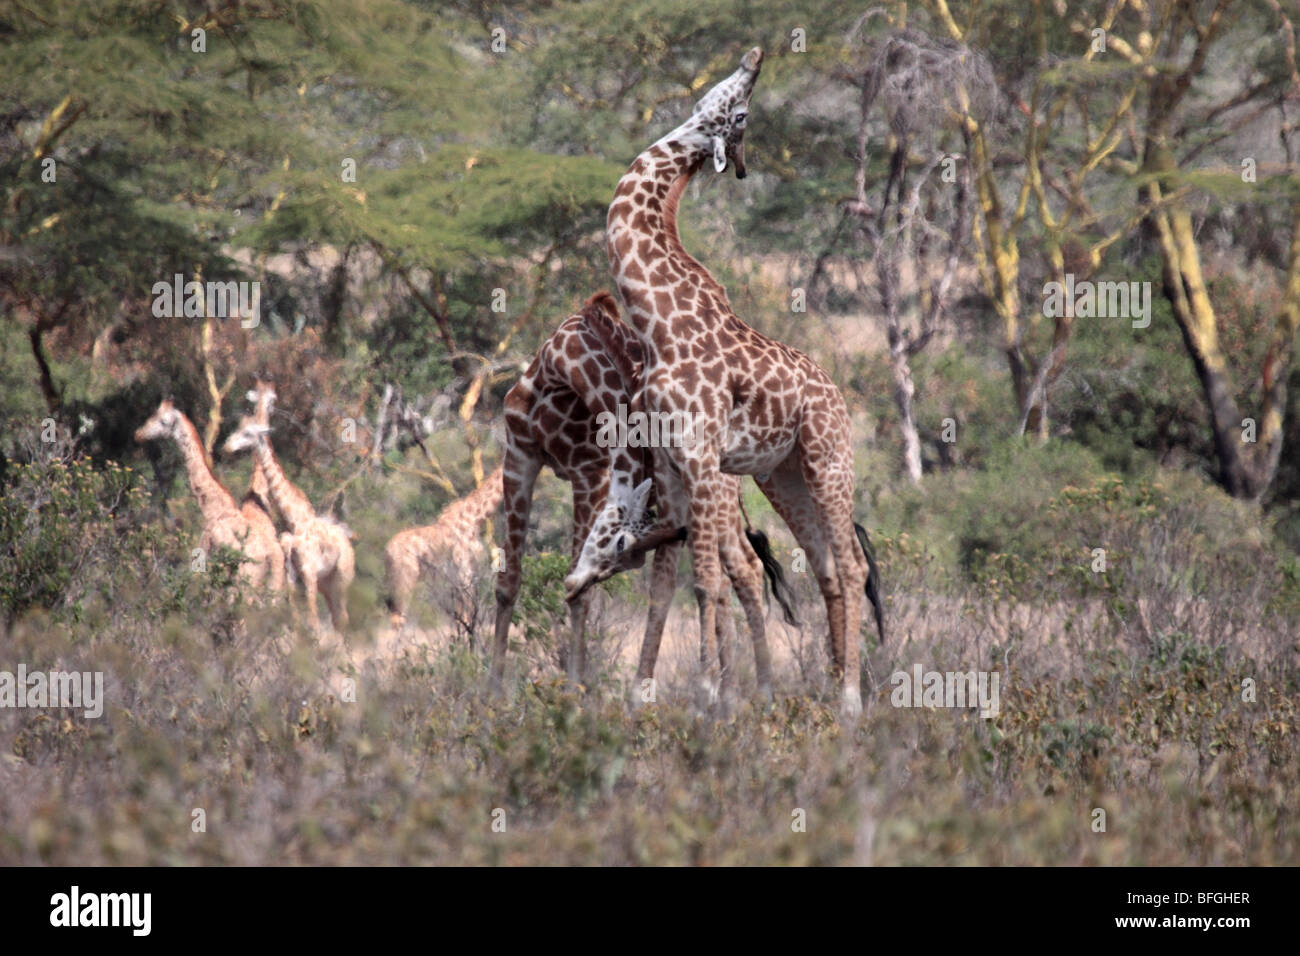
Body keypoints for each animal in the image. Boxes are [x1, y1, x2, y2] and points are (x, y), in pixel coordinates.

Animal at [133, 398, 282, 595]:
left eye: (163, 421)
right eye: (153, 414)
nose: (138, 434)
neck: (213, 508)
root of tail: (270, 557)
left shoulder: (205, 556)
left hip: (243, 581)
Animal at [222, 413, 353, 632]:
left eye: (248, 433)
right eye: (238, 428)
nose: (227, 447)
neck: (294, 522)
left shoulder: (309, 572)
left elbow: (312, 618)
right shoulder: (293, 574)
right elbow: (295, 614)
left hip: (342, 577)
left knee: (342, 617)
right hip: (327, 582)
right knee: (337, 618)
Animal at [382, 465, 504, 634]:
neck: (475, 518)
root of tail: (387, 551)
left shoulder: (463, 575)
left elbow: (461, 617)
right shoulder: (464, 571)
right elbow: (467, 616)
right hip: (405, 579)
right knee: (398, 619)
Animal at [488, 291, 785, 702]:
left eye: (627, 552)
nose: (575, 582)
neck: (559, 369)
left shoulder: (590, 473)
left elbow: (580, 599)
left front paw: (574, 694)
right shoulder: (519, 455)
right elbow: (508, 583)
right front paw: (492, 693)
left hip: (714, 496)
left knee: (744, 569)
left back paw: (749, 694)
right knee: (727, 580)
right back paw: (728, 694)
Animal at [587, 46, 883, 717]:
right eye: (735, 109)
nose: (755, 55)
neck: (654, 318)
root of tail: (836, 394)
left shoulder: (699, 455)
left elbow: (706, 579)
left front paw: (707, 695)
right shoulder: (670, 464)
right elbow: (685, 578)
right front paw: (703, 694)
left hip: (828, 459)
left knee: (853, 565)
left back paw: (853, 698)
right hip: (783, 475)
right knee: (826, 567)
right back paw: (828, 688)